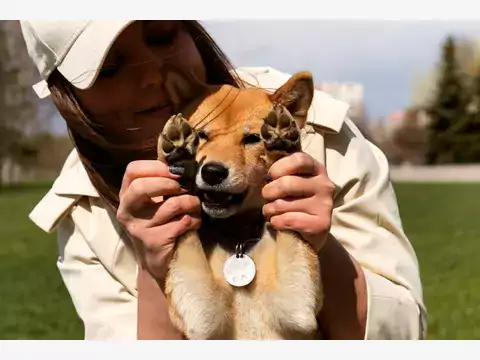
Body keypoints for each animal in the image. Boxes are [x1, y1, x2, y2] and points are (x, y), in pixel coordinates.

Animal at [158, 66, 322, 338]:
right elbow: (187, 236)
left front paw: (282, 144)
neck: (239, 240)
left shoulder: (297, 308)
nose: (212, 172)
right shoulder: (201, 314)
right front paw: (178, 154)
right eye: (201, 135)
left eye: (253, 139)